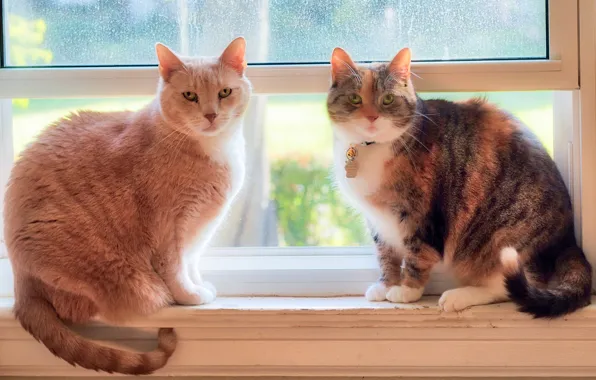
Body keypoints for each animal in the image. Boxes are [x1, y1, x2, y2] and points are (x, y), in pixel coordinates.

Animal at [1, 37, 251, 372]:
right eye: (190, 95)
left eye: (224, 92)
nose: (211, 115)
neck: (215, 150)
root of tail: (21, 286)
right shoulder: (170, 226)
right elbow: (176, 268)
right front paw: (189, 295)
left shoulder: (198, 229)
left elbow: (192, 262)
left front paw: (199, 285)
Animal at [326, 45, 592, 318]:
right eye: (355, 99)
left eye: (388, 99)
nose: (371, 117)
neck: (371, 148)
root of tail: (569, 239)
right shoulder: (378, 221)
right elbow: (385, 253)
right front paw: (385, 285)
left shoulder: (422, 215)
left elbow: (416, 254)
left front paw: (407, 291)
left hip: (503, 238)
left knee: (510, 286)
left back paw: (457, 296)